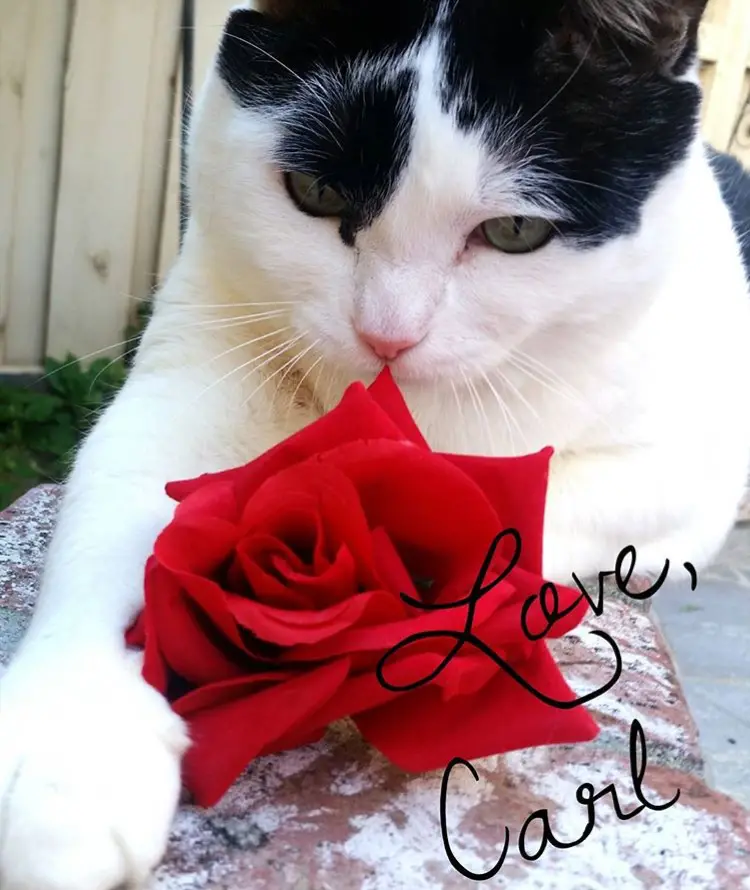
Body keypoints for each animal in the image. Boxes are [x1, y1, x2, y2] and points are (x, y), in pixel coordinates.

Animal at [1, 1, 750, 888]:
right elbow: (112, 507)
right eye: (316, 192)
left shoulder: (688, 471)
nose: (387, 333)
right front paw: (66, 751)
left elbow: (530, 510)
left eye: (517, 231)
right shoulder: (190, 361)